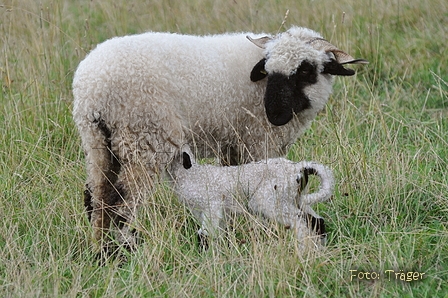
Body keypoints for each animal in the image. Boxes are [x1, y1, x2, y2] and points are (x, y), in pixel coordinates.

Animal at [170, 146, 334, 249]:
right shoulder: (207, 212)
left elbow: (204, 234)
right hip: (294, 198)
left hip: (270, 200)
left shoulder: (213, 206)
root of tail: (298, 168)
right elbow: (218, 233)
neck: (192, 175)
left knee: (300, 222)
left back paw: (303, 250)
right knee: (315, 220)